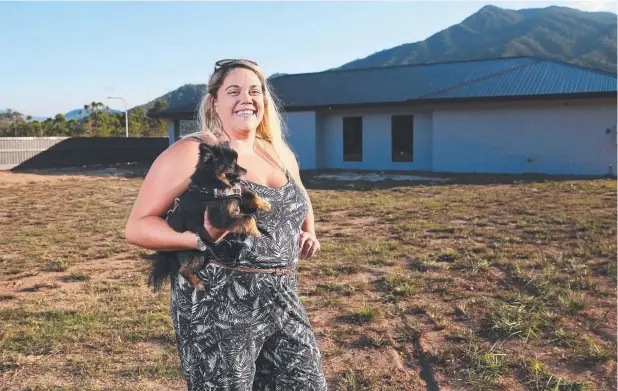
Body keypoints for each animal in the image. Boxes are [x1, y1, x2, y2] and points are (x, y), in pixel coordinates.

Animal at [146, 142, 270, 292]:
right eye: (232, 164)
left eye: (237, 162)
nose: (245, 170)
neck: (214, 185)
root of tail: (169, 253)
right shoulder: (220, 217)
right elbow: (248, 218)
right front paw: (255, 231)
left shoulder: (235, 193)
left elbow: (248, 193)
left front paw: (264, 204)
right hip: (197, 254)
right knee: (183, 270)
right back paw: (198, 284)